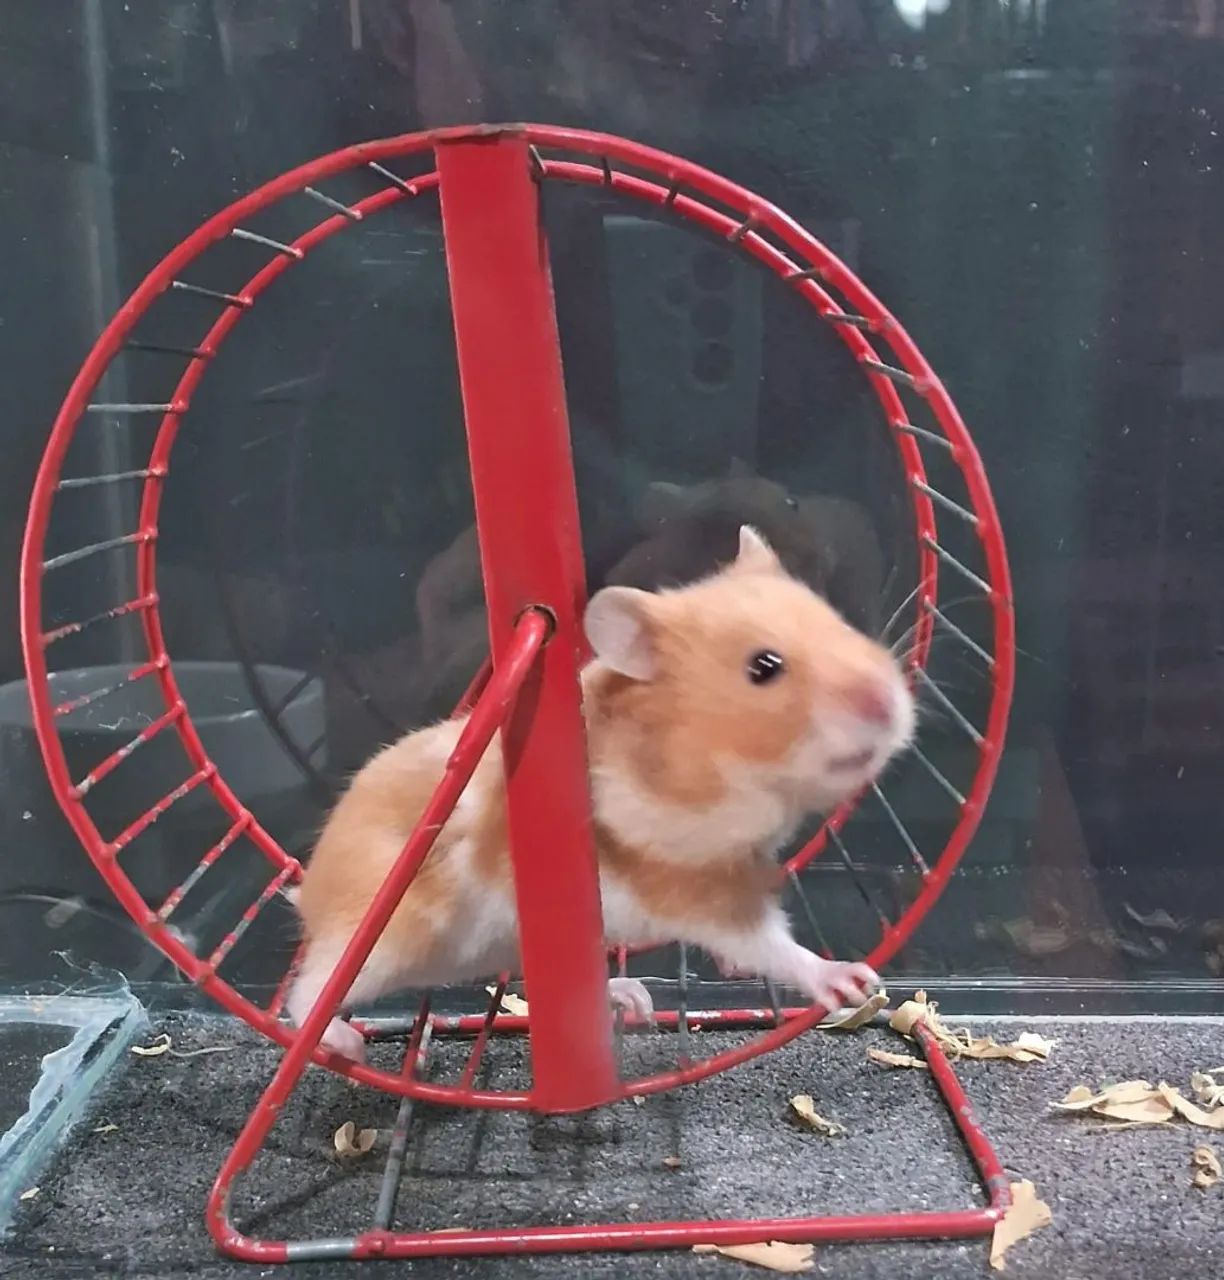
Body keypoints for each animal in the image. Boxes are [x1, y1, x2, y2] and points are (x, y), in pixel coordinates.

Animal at [286, 526, 915, 1063]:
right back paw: (344, 1045)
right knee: (305, 995)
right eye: (764, 667)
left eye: (836, 619)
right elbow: (771, 944)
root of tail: (308, 885)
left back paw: (630, 997)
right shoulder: (689, 886)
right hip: (385, 937)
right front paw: (856, 980)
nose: (890, 704)